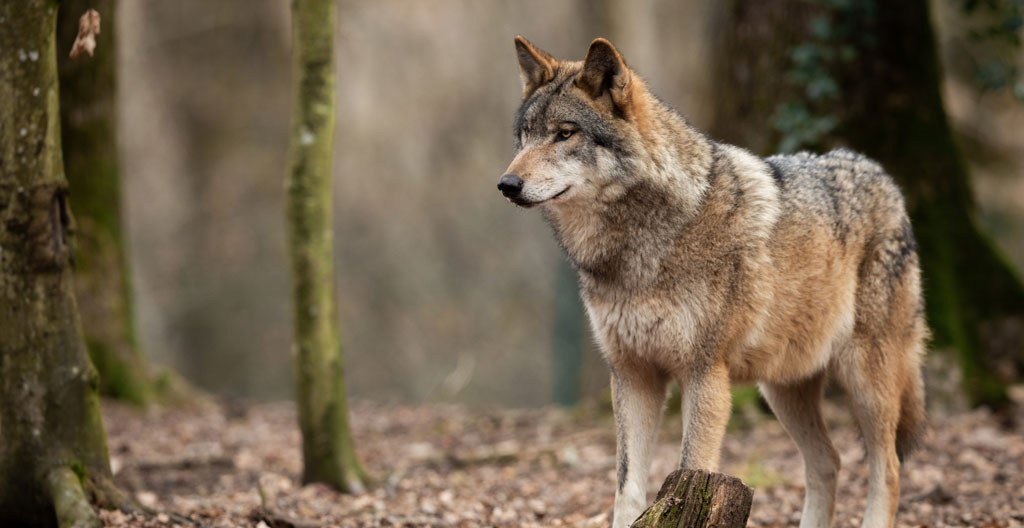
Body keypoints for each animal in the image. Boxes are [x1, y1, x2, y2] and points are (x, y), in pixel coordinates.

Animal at [498, 36, 927, 528]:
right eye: (525, 135)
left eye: (565, 134)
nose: (507, 183)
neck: (638, 250)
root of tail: (881, 174)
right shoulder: (632, 375)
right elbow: (626, 488)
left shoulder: (704, 374)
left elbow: (691, 468)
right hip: (782, 389)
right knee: (828, 462)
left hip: (866, 380)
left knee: (887, 467)